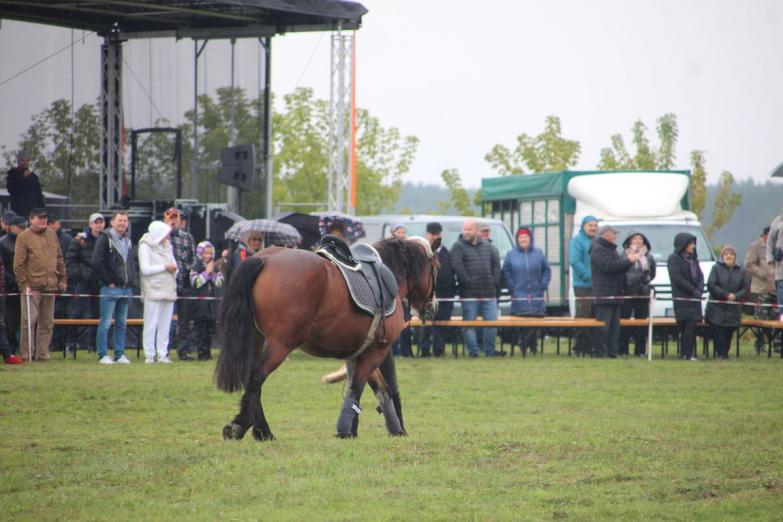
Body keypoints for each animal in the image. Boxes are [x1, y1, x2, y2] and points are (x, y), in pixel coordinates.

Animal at [214, 238, 438, 436]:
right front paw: (346, 430)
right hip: (280, 345)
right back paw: (263, 431)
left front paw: (394, 429)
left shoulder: (363, 352)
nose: (432, 306)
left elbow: (380, 388)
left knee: (250, 378)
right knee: (256, 378)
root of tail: (265, 259)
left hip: (255, 339)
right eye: (436, 267)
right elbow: (357, 387)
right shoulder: (377, 351)